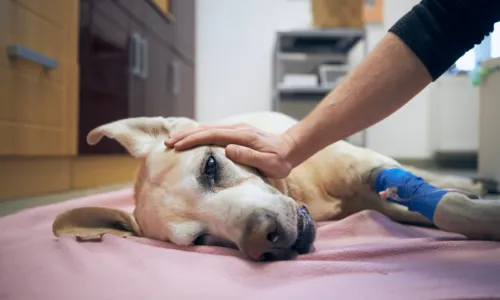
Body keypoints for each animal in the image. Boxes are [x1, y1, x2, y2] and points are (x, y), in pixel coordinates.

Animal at [53, 111, 488, 262]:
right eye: (200, 240)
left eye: (210, 166)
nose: (265, 238)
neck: (301, 190)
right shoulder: (379, 200)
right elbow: (439, 210)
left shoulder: (369, 168)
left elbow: (450, 206)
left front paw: (477, 206)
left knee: (425, 175)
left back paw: (471, 181)